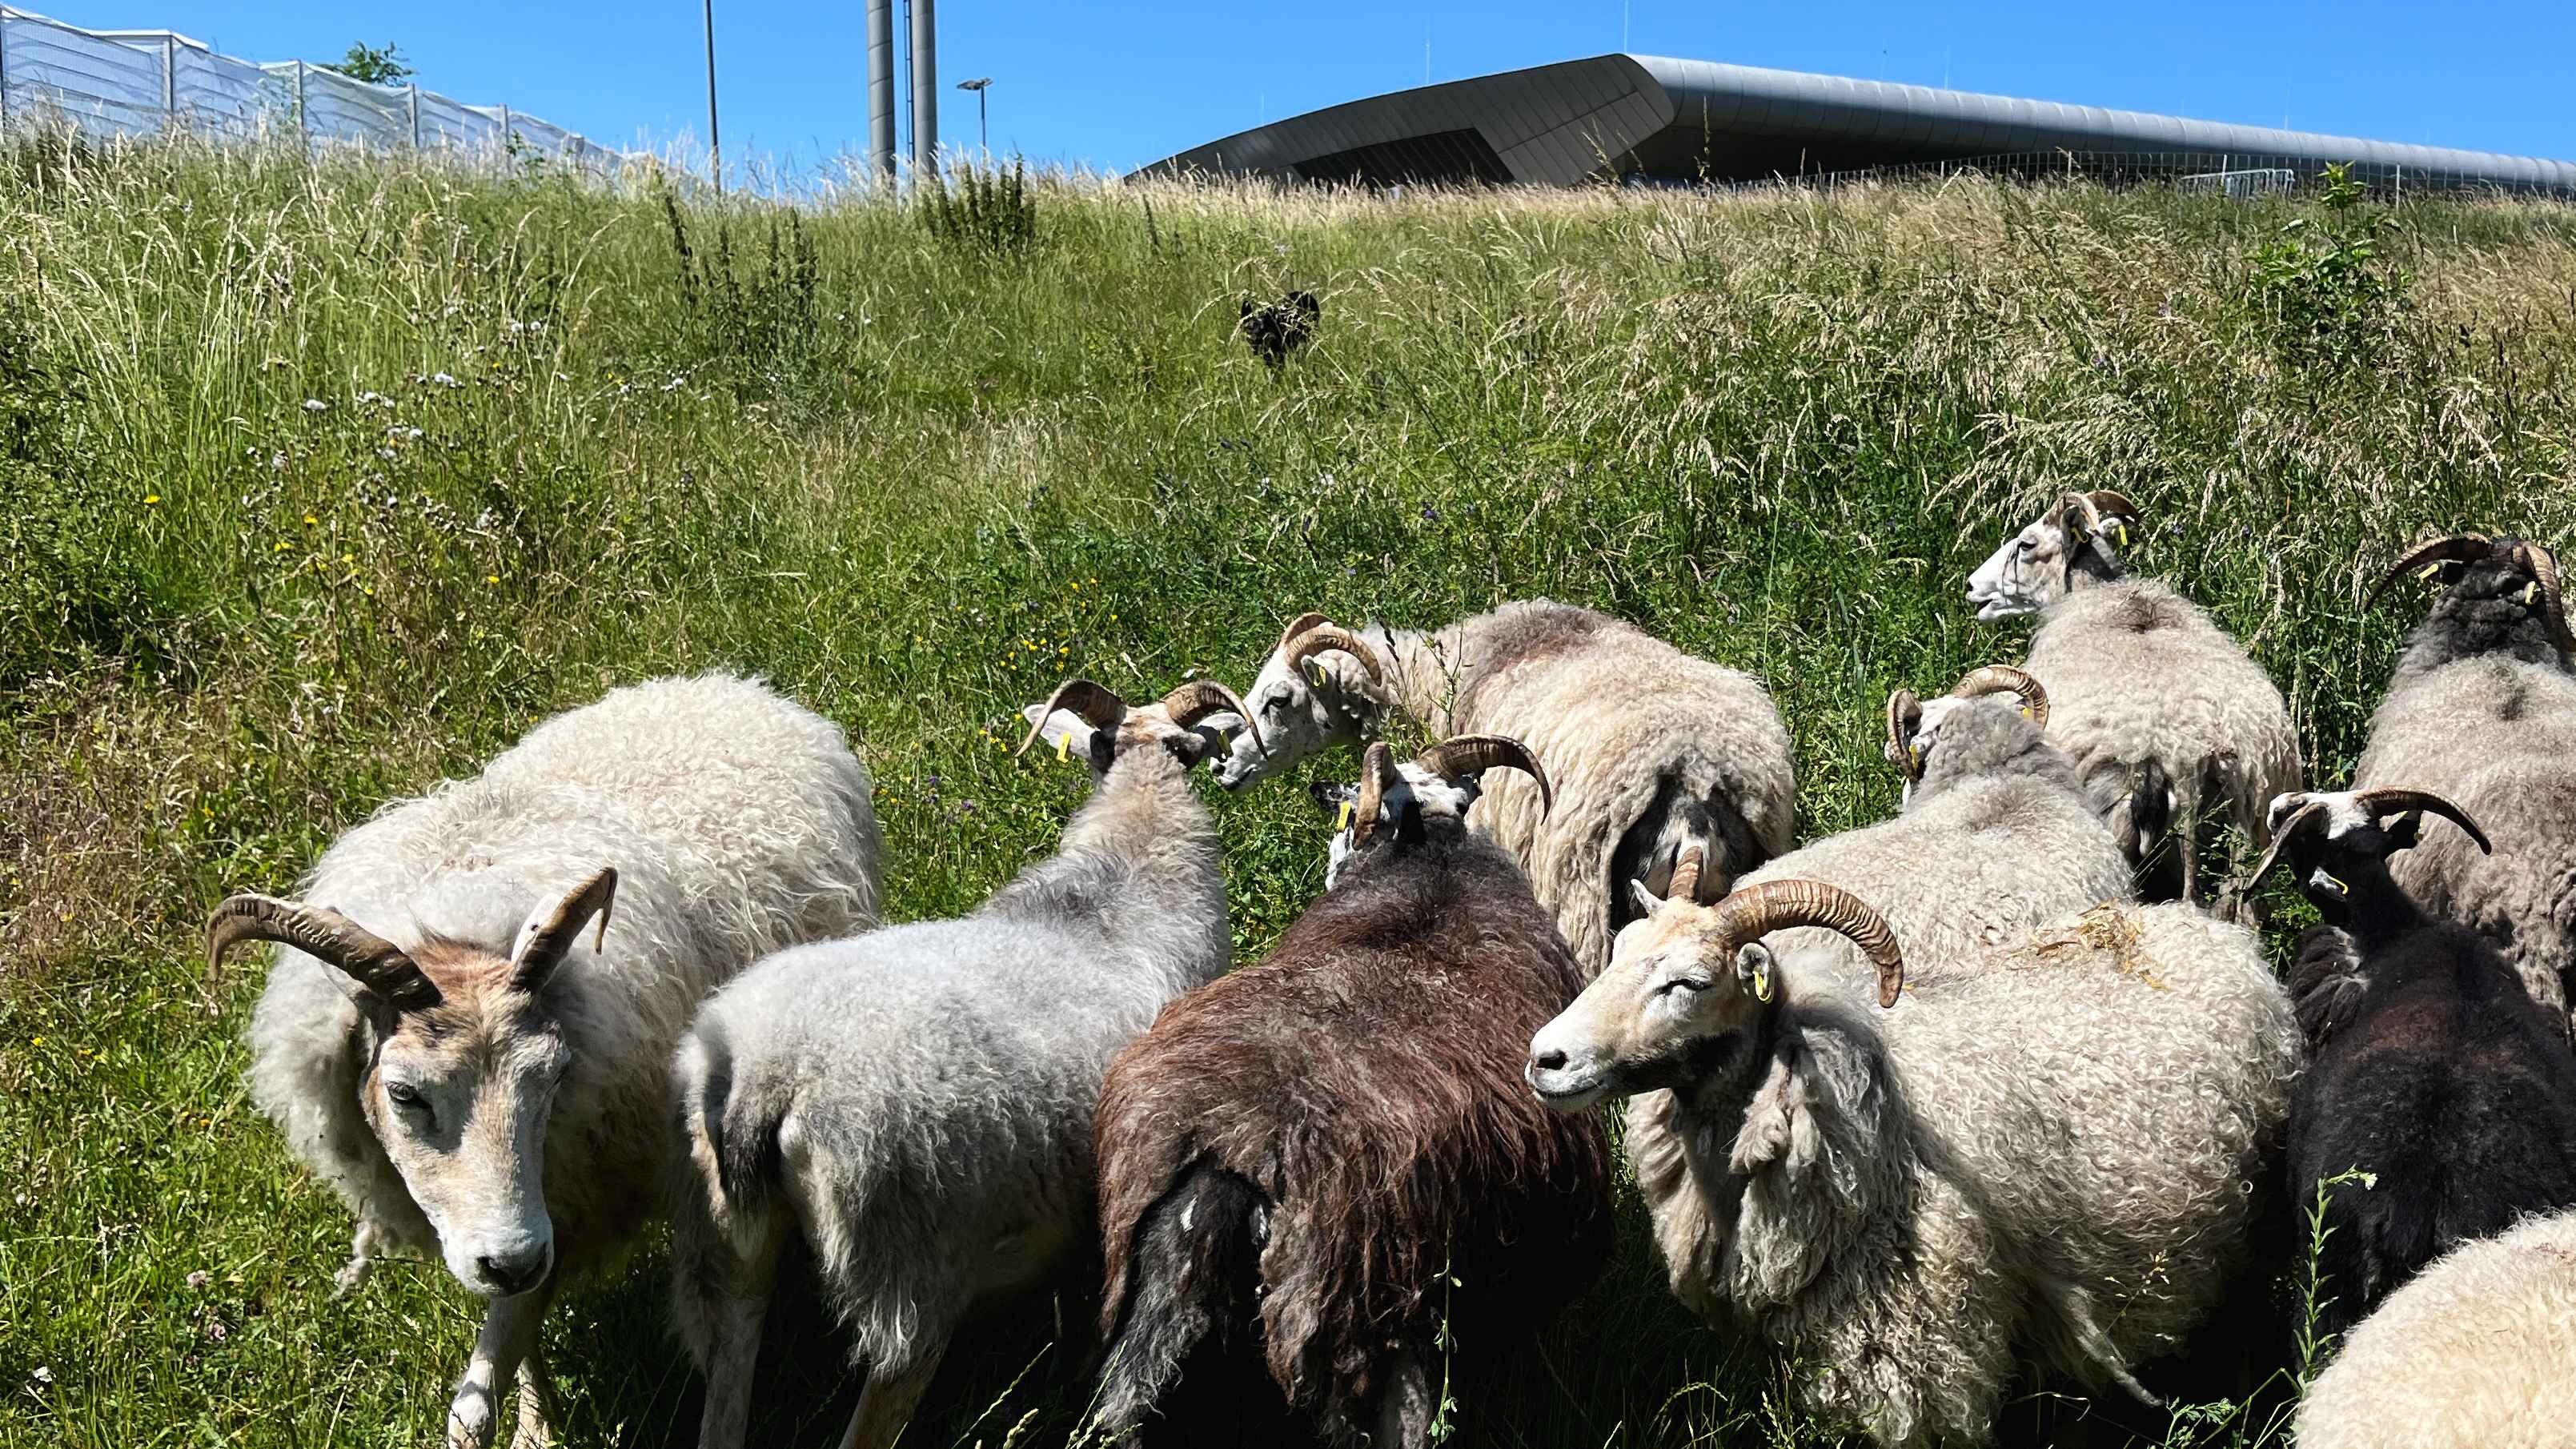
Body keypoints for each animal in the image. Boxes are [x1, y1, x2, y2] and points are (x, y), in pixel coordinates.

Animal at [212, 672, 880, 1449]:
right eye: (405, 1094)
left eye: (556, 1076)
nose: (513, 1258)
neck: (460, 921)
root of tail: (727, 688)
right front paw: (538, 1423)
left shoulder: (571, 1186)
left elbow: (476, 1399)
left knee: (739, 1298)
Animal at [667, 675, 1252, 1449]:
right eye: (1106, 747)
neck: (1127, 872)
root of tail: (769, 1080)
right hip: (911, 1275)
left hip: (723, 1245)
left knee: (727, 1383)